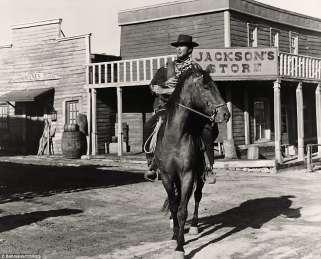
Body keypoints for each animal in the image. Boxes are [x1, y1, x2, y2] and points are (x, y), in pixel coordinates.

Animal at [153, 67, 230, 258]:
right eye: (206, 86)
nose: (226, 114)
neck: (175, 136)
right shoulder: (167, 176)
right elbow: (174, 206)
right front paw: (175, 235)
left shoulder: (187, 174)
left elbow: (183, 210)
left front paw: (180, 247)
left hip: (200, 175)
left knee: (197, 197)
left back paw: (194, 226)